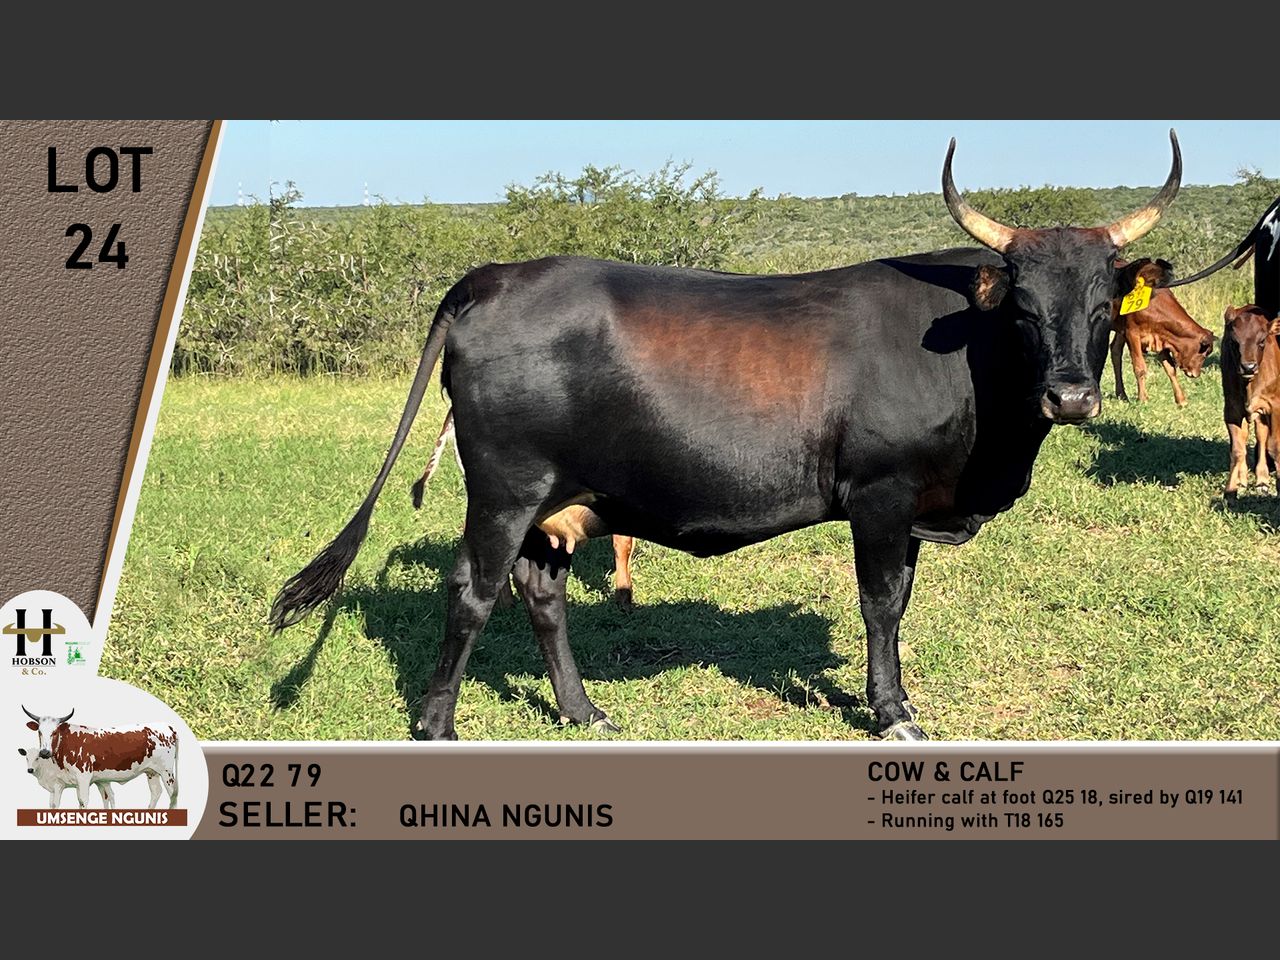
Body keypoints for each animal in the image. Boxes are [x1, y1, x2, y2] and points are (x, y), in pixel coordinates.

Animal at [21, 706, 179, 808]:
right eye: (39, 732)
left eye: (54, 732)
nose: (44, 752)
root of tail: (168, 726)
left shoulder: (83, 777)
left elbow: (83, 801)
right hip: (151, 771)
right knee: (156, 792)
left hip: (167, 772)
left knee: (173, 794)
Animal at [1109, 272, 1214, 406]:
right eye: (1204, 353)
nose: (1196, 374)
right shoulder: (1131, 333)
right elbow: (1140, 368)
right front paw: (1143, 399)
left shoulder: (1161, 337)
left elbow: (1170, 369)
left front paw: (1181, 400)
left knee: (1115, 351)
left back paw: (1122, 395)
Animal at [1222, 304, 1280, 497]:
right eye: (1234, 342)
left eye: (1261, 341)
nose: (1248, 367)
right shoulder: (1231, 410)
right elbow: (1237, 450)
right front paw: (1230, 490)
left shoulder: (1274, 407)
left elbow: (1274, 446)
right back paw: (1244, 479)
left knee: (1262, 438)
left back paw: (1262, 480)